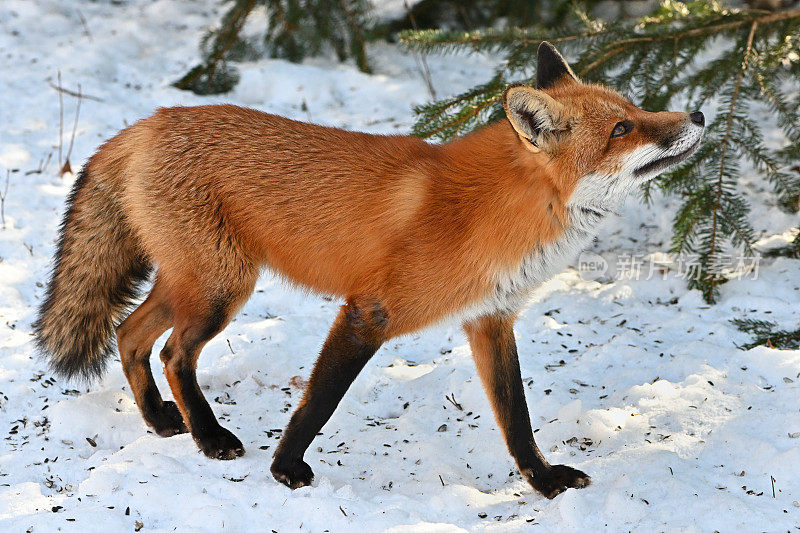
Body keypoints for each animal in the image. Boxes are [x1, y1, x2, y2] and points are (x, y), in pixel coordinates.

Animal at [34, 42, 704, 498]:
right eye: (622, 128)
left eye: (636, 108)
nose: (697, 116)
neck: (493, 211)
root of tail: (144, 123)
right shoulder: (369, 312)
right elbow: (318, 403)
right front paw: (285, 469)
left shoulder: (490, 319)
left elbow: (517, 420)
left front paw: (543, 483)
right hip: (219, 290)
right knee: (173, 353)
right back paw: (209, 437)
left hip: (194, 285)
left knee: (129, 334)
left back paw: (161, 421)